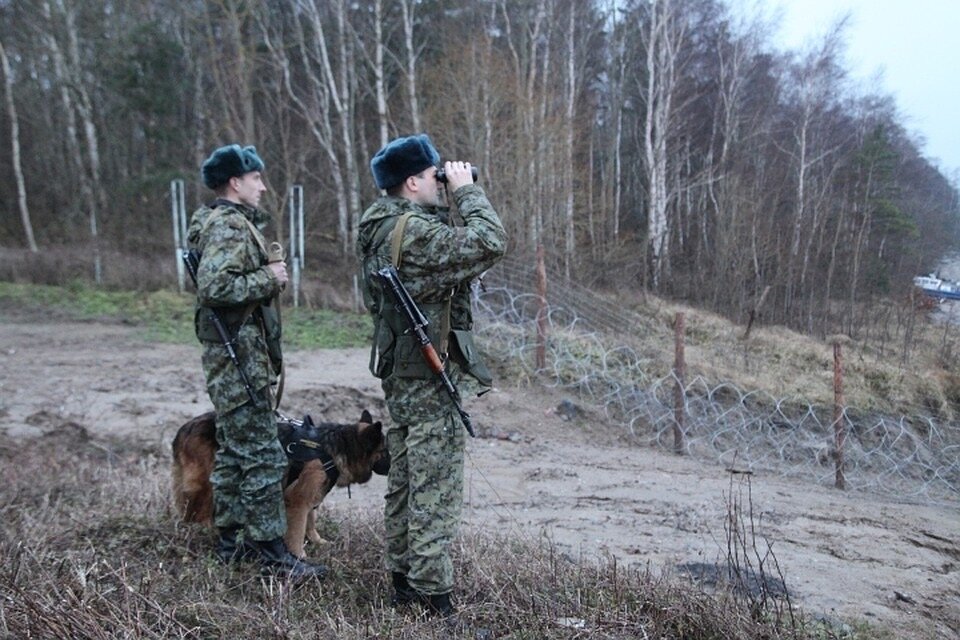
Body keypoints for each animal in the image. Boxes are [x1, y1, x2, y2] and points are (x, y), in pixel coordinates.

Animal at [172, 412, 386, 556]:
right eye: (386, 451)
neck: (334, 446)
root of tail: (184, 429)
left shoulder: (311, 496)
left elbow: (311, 521)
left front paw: (317, 541)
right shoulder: (298, 501)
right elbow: (297, 531)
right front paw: (299, 557)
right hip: (208, 484)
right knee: (198, 516)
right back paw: (207, 533)